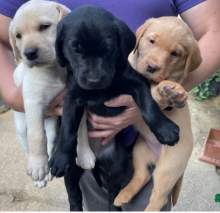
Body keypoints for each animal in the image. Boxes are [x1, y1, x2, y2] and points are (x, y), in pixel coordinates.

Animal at [49, 5, 180, 211]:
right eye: (75, 50)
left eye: (108, 49)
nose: (94, 80)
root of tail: (97, 158)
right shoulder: (72, 97)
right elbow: (68, 128)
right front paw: (61, 156)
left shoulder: (137, 83)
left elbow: (149, 107)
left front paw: (164, 129)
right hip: (73, 171)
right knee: (74, 193)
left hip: (119, 164)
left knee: (113, 190)